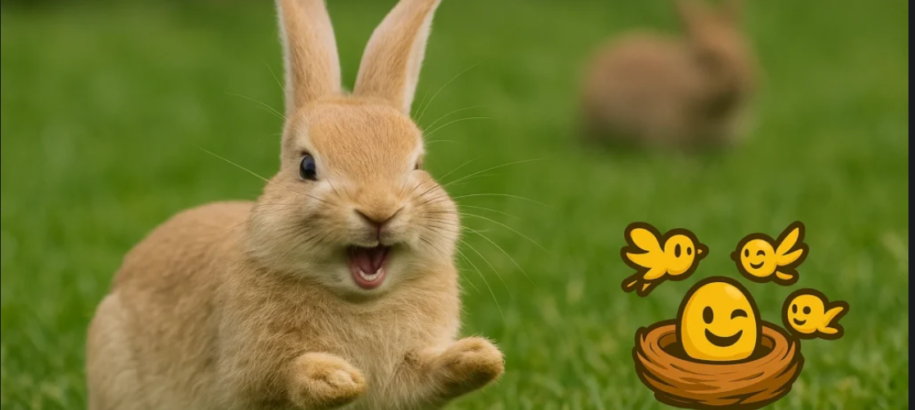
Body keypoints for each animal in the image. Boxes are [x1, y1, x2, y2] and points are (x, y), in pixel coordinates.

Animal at [85, 1, 504, 409]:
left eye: (417, 165)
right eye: (307, 166)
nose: (379, 211)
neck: (361, 301)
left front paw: (480, 356)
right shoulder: (249, 374)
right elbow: (283, 377)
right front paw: (335, 378)